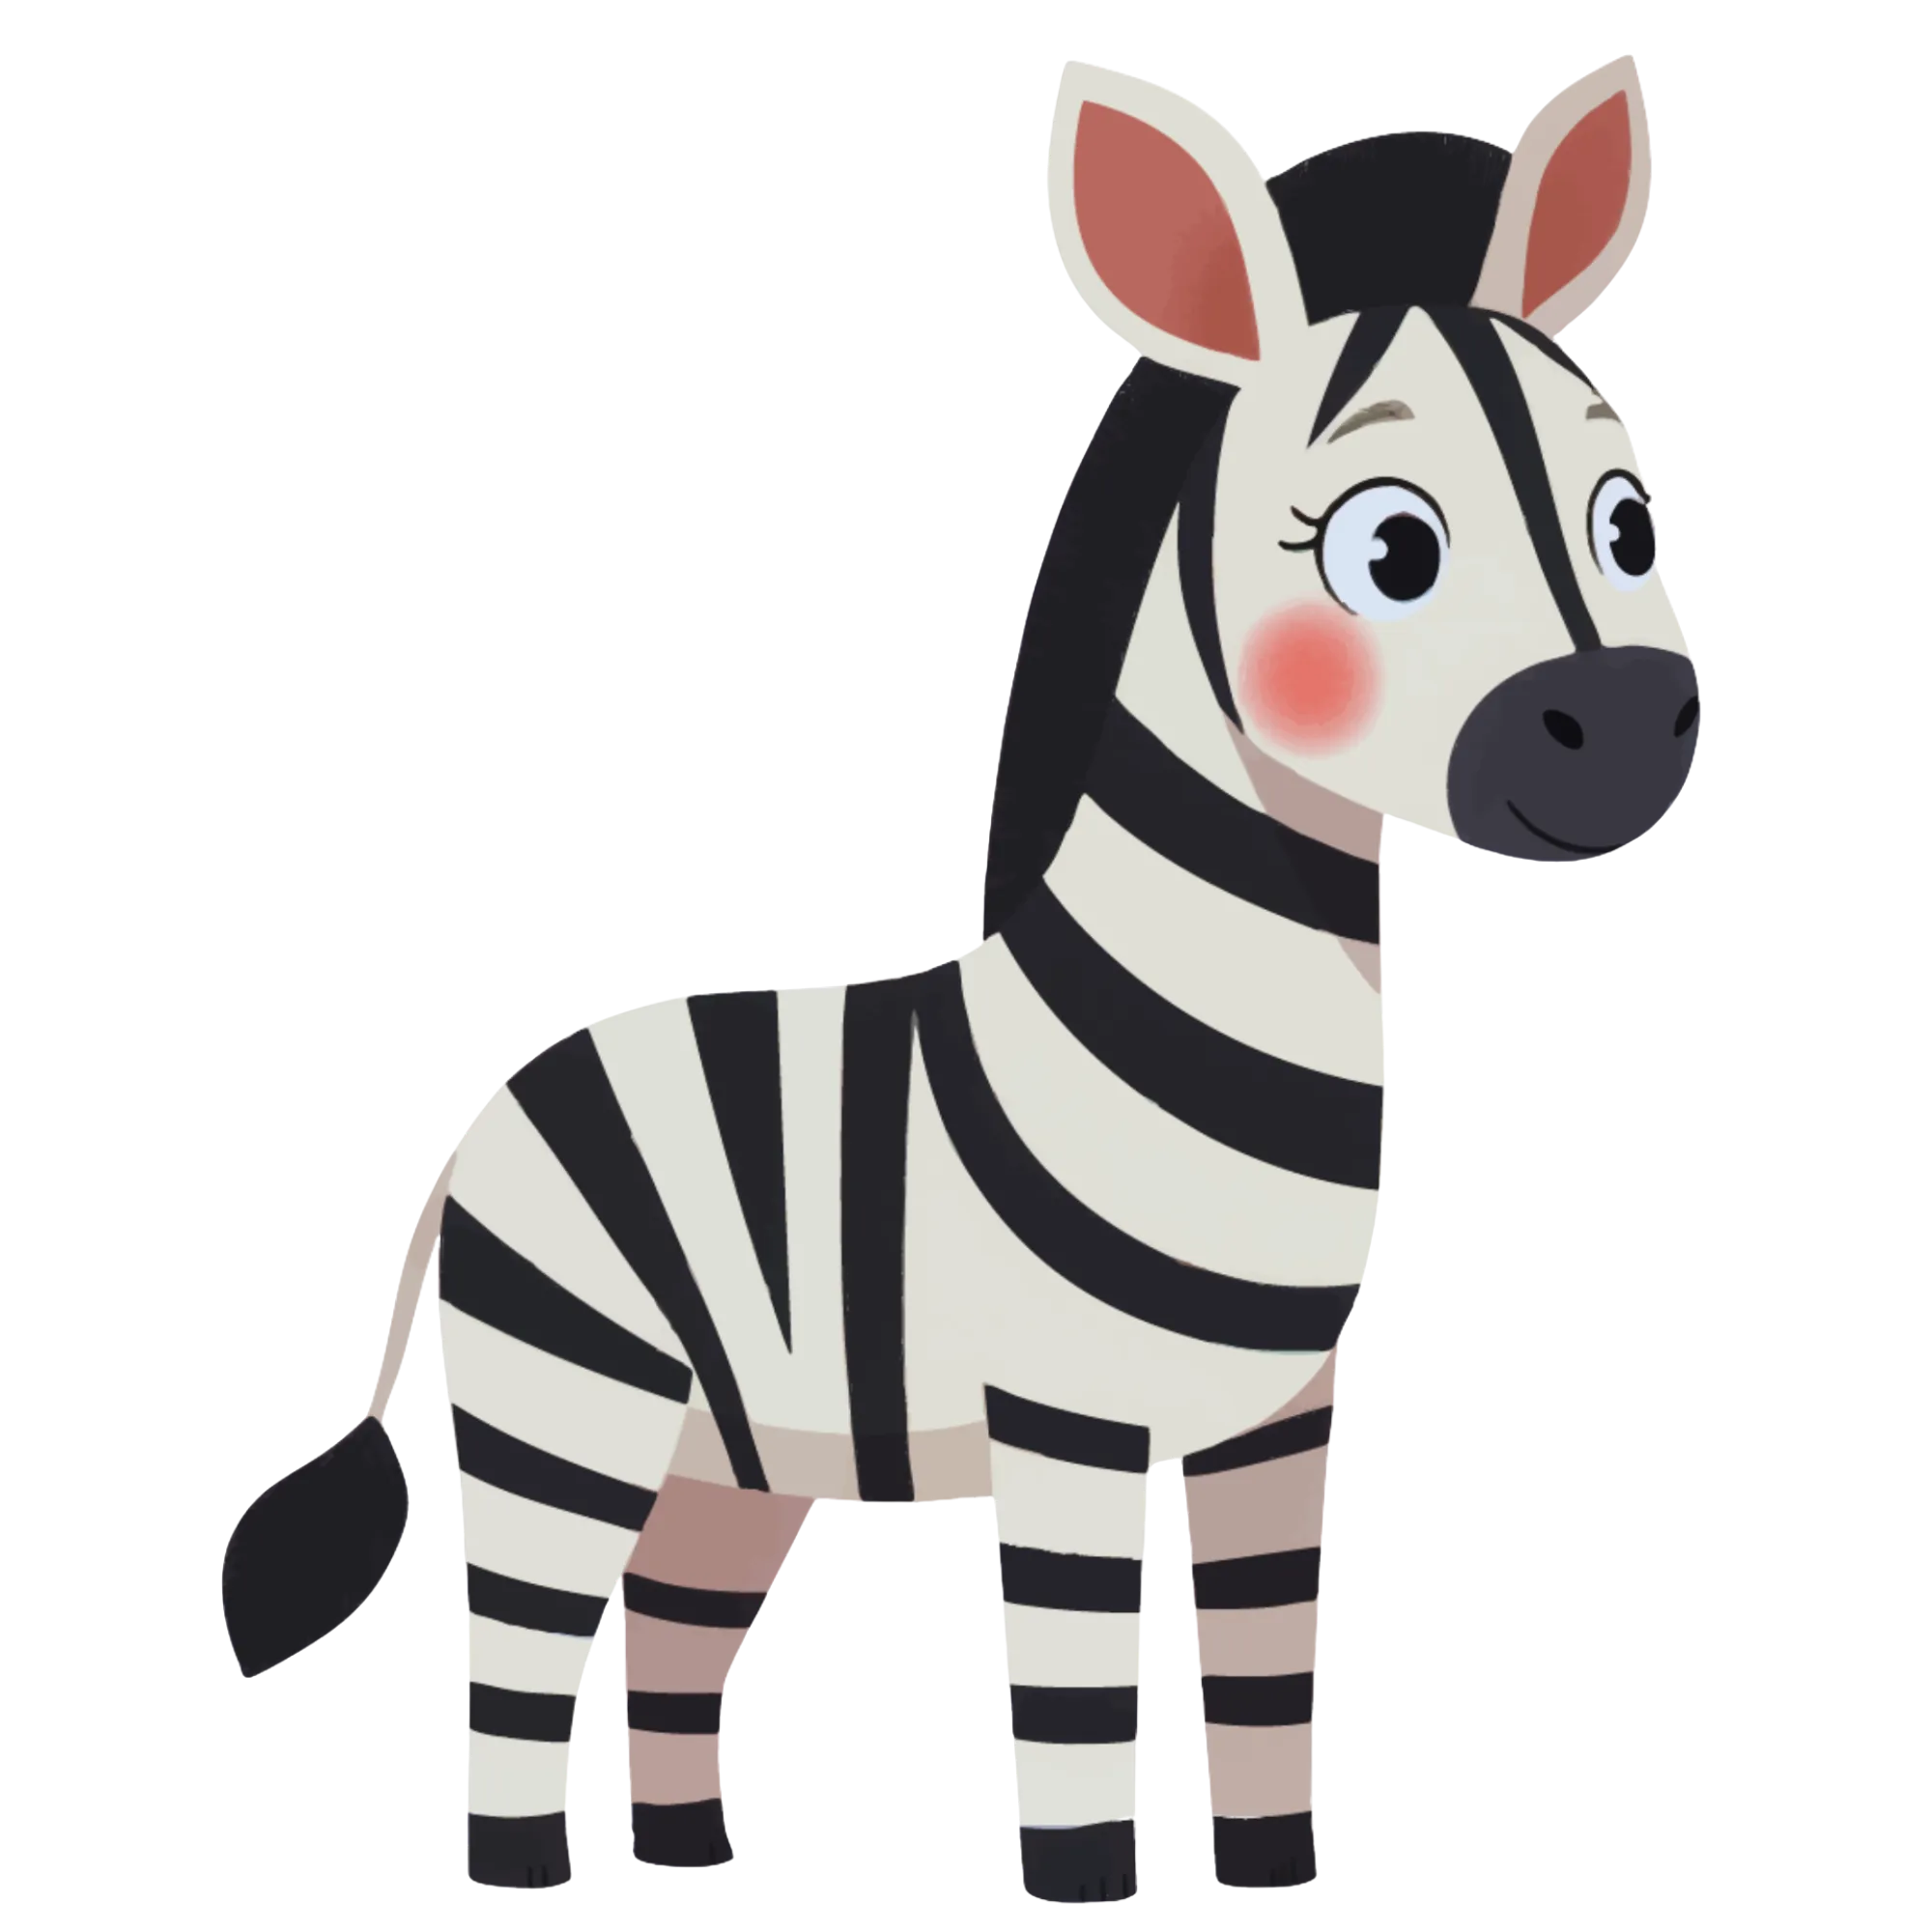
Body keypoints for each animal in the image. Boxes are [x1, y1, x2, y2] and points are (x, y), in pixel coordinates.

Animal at [218, 53, 1696, 1903]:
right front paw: (1084, 1892)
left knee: (673, 1633)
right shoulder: (1061, 1421)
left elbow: (1269, 1672)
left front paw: (1273, 1874)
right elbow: (1074, 1699)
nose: (1632, 732)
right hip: (570, 1407)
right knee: (519, 1655)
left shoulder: (1285, 1418)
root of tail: (491, 1106)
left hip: (731, 1456)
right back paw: (519, 1874)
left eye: (1630, 522)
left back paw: (691, 1856)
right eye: (1390, 551)